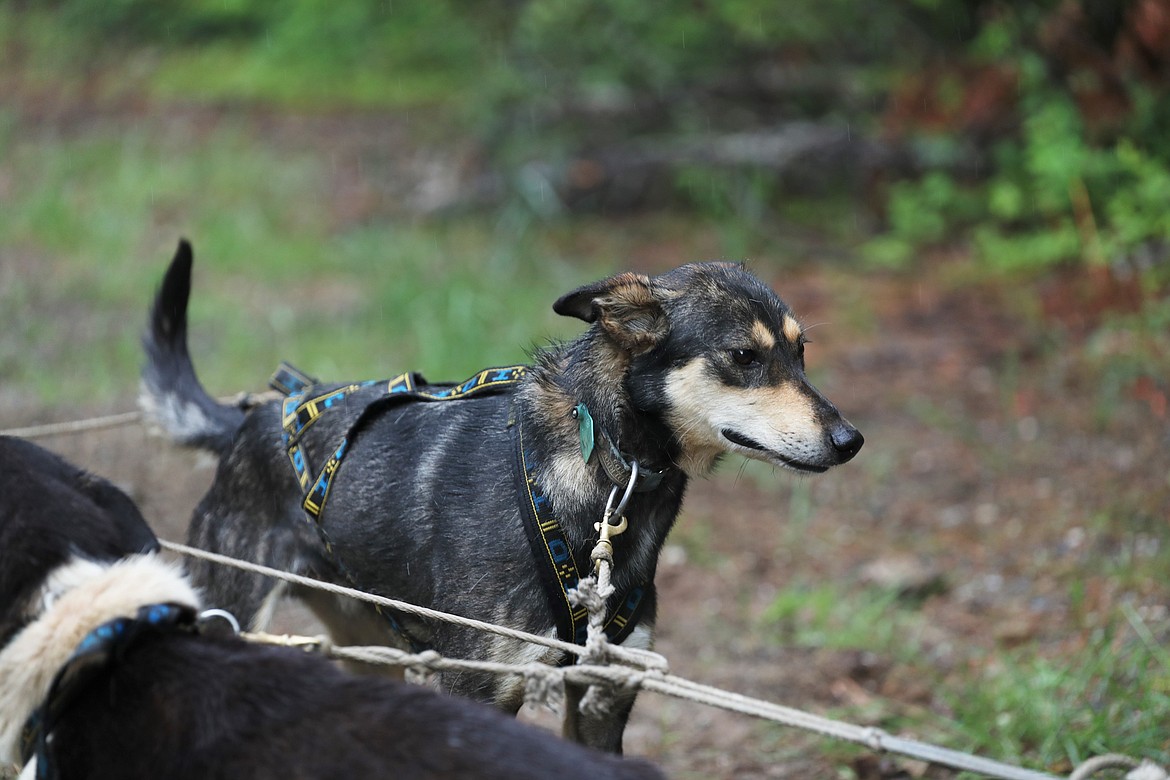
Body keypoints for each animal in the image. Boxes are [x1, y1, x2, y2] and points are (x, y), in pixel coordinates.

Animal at [141, 240, 865, 753]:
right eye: (744, 357)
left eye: (802, 353)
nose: (850, 439)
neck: (603, 481)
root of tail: (258, 415)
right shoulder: (478, 689)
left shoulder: (603, 697)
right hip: (230, 616)